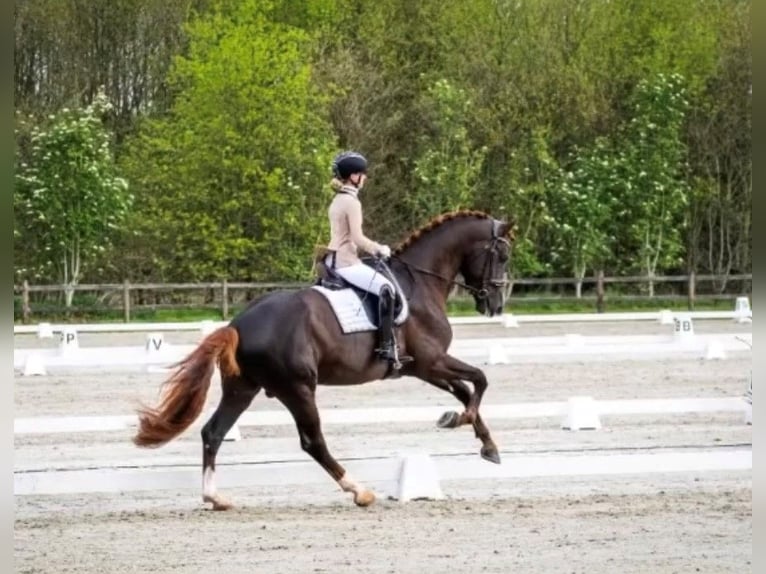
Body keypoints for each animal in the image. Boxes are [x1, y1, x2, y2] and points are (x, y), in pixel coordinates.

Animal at [134, 209, 516, 510]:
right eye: (502, 256)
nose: (495, 305)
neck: (419, 283)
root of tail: (237, 324)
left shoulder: (419, 367)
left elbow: (466, 390)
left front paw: (485, 444)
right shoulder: (431, 360)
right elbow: (479, 380)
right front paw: (459, 420)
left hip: (243, 388)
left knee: (213, 432)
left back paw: (215, 498)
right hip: (298, 388)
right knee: (312, 441)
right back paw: (359, 491)